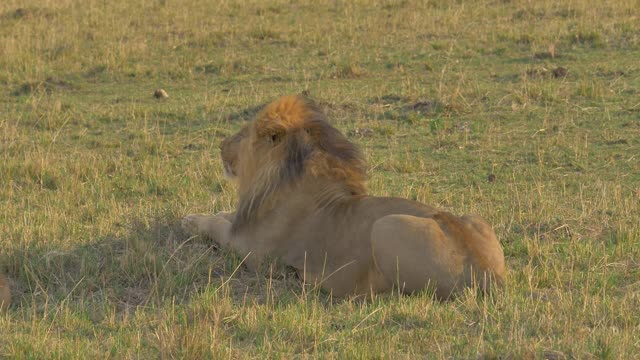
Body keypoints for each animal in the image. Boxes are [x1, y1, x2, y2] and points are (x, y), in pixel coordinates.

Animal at [182, 95, 508, 298]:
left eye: (243, 133)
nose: (221, 145)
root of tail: (490, 273)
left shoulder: (251, 251)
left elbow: (217, 226)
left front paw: (189, 221)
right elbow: (223, 215)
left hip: (385, 227)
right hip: (474, 217)